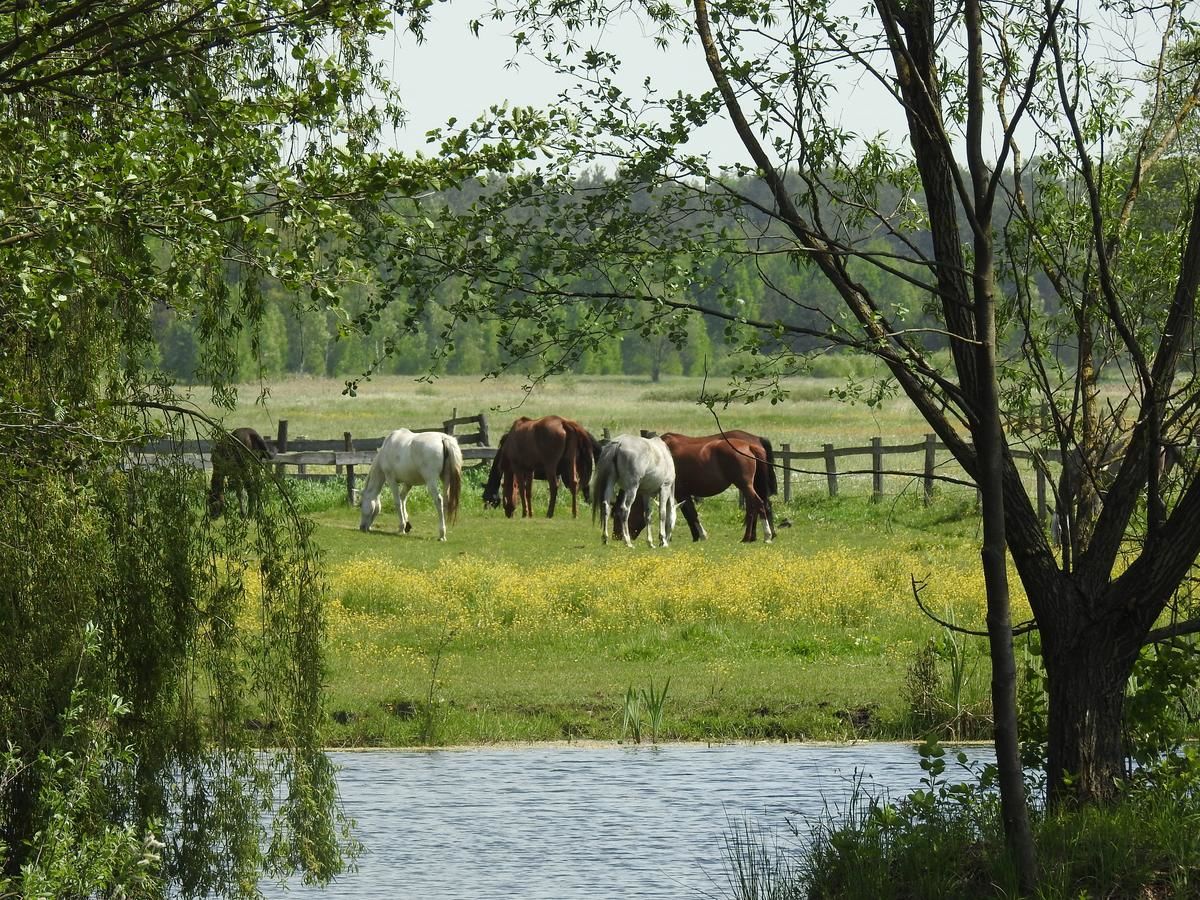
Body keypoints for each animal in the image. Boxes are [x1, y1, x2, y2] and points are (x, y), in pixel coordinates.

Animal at [628, 429, 777, 542]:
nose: (622, 536)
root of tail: (750, 445)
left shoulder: (680, 493)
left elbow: (690, 513)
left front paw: (700, 535)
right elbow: (687, 513)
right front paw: (695, 536)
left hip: (745, 485)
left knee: (758, 504)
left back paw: (765, 535)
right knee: (757, 506)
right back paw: (752, 537)